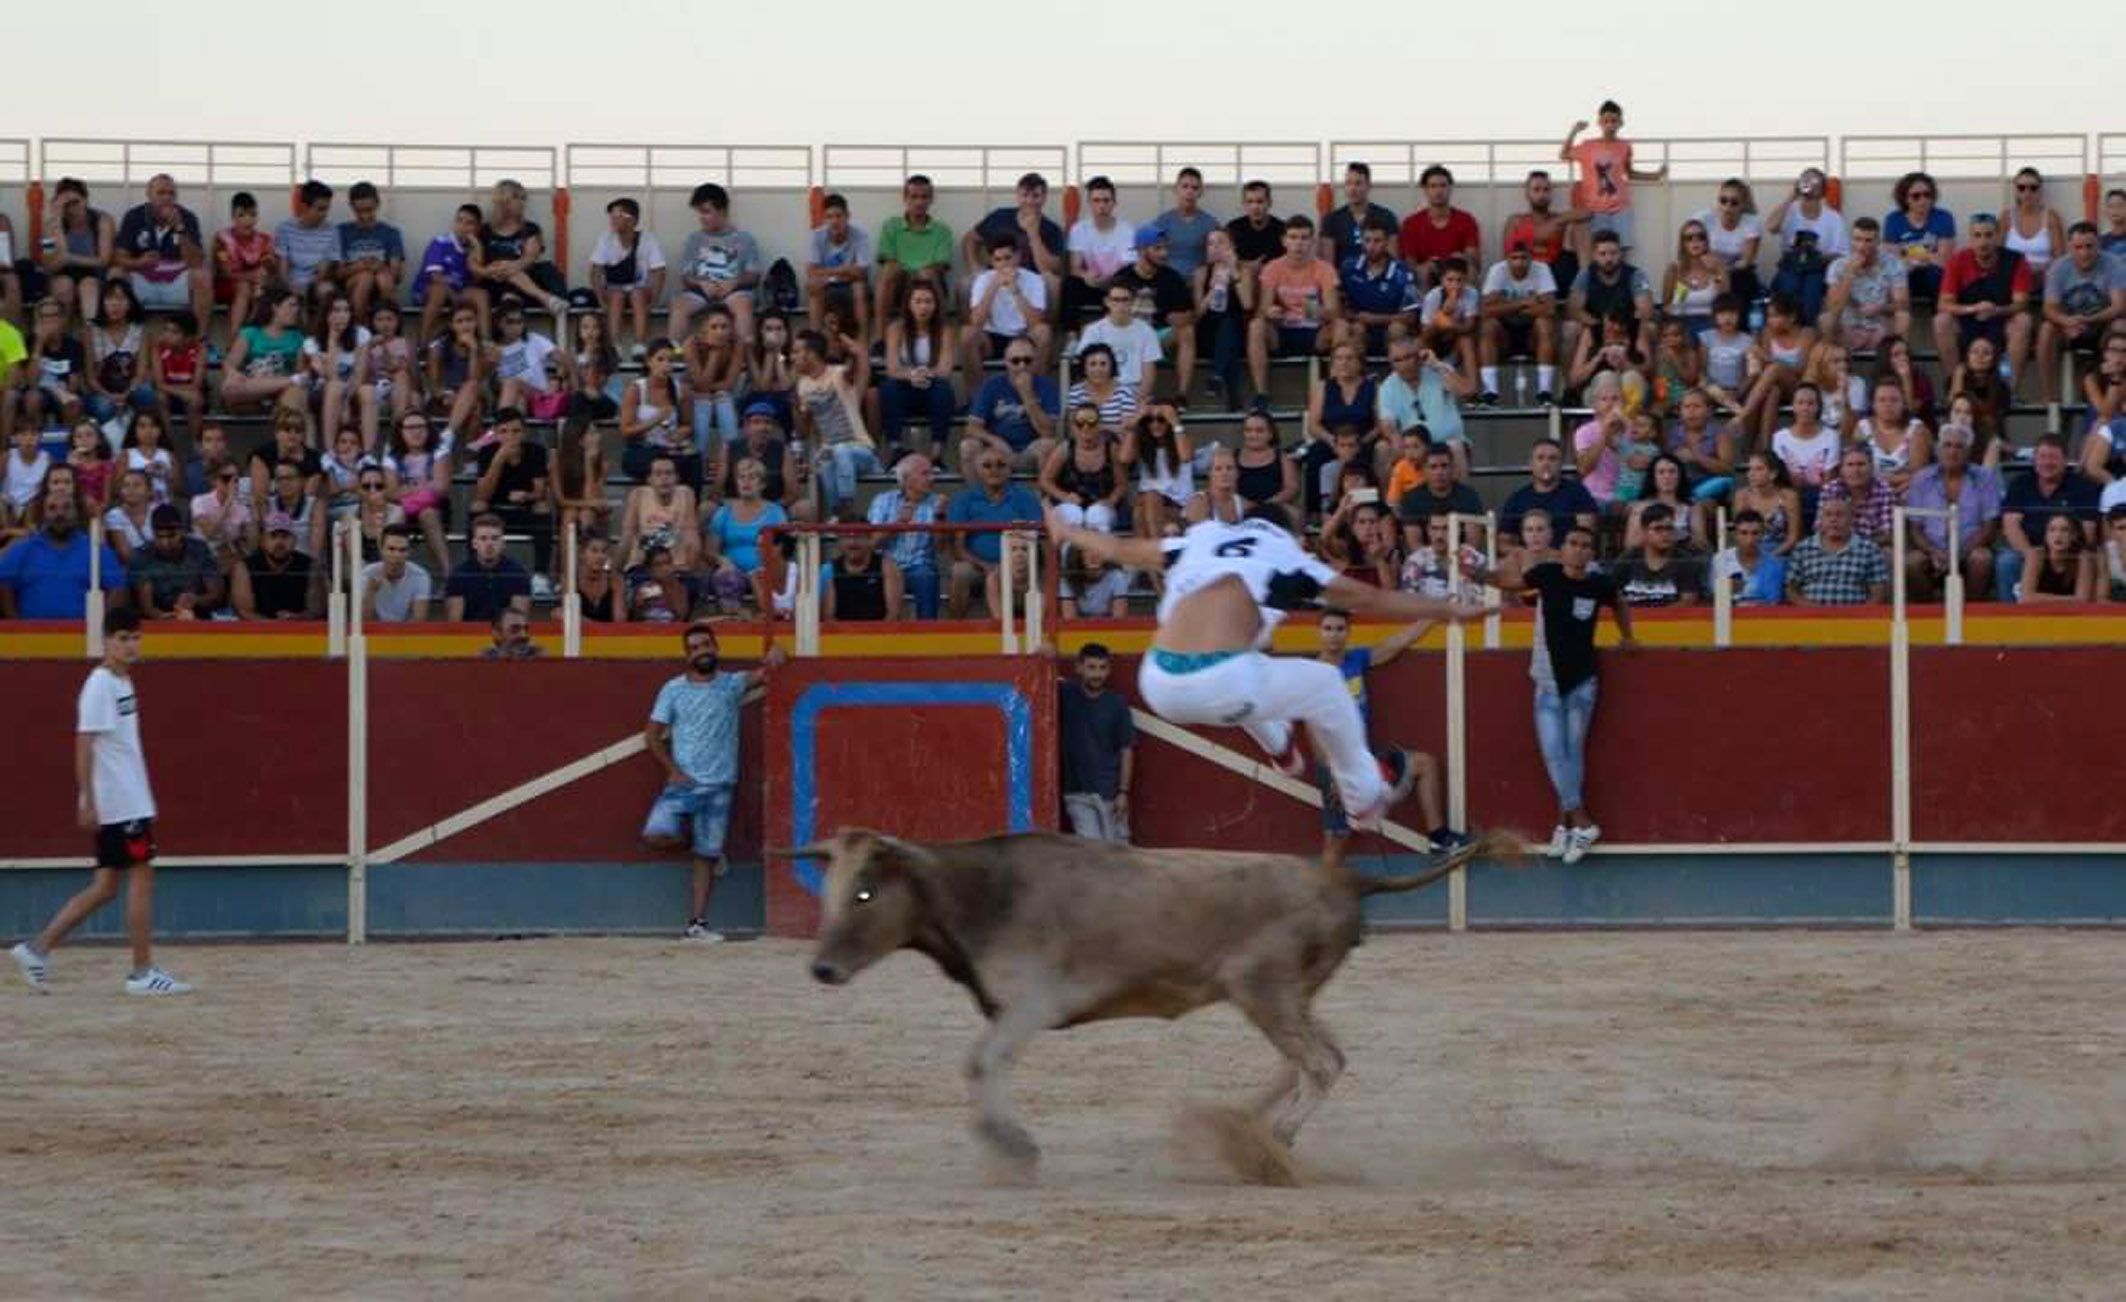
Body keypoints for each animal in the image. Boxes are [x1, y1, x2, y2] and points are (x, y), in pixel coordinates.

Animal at [782, 829, 1496, 1174]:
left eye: (866, 893)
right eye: (831, 888)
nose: (822, 968)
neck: (977, 891)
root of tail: (1344, 875)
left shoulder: (1030, 1004)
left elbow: (982, 1062)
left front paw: (1012, 1144)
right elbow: (982, 1063)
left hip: (1263, 990)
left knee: (1322, 1063)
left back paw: (1272, 1141)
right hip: (1285, 995)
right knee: (1310, 1058)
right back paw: (1243, 1125)